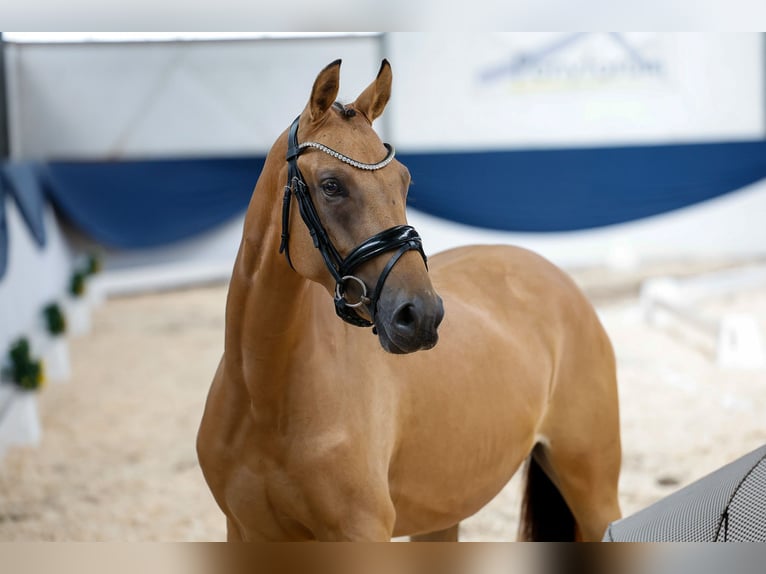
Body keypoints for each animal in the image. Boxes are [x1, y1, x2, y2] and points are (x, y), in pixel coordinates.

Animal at [198, 56, 624, 544]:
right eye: (331, 185)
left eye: (404, 181)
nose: (421, 316)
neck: (264, 399)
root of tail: (555, 276)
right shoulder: (244, 531)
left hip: (594, 493)